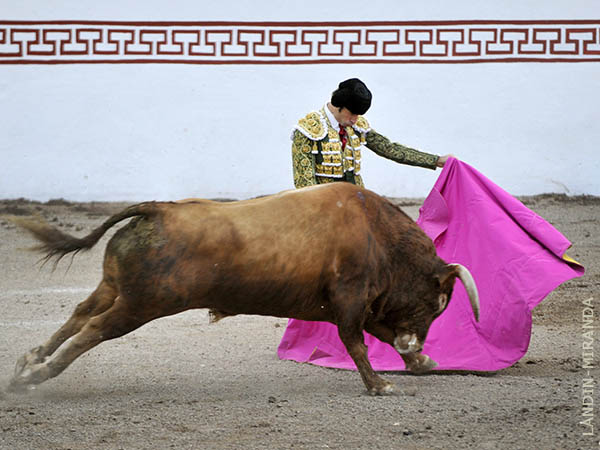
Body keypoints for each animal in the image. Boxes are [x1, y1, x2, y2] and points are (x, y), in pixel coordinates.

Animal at [8, 183, 478, 394]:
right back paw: (34, 376)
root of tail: (158, 210)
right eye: (438, 302)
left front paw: (421, 362)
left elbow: (374, 334)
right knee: (93, 329)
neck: (377, 234)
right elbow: (357, 342)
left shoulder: (360, 306)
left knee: (79, 316)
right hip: (143, 304)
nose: (415, 342)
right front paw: (380, 384)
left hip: (115, 288)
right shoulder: (350, 300)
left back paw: (27, 363)